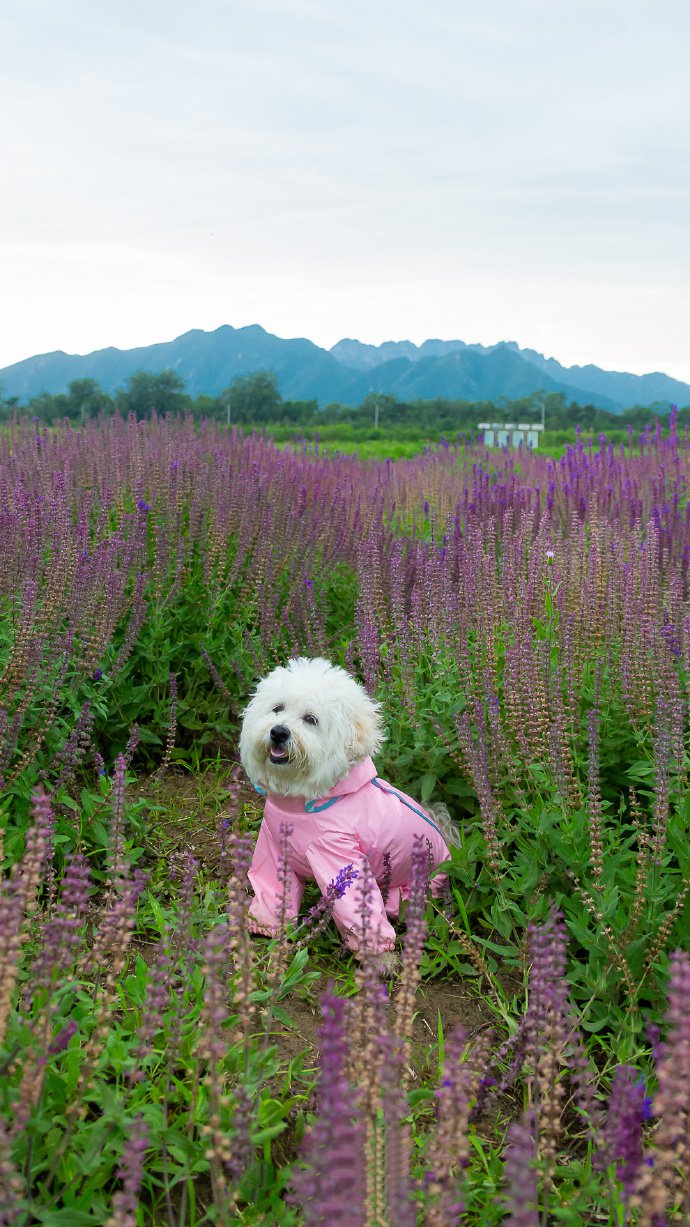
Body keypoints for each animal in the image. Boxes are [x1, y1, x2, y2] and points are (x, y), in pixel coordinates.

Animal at [239, 657, 454, 971]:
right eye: (277, 708)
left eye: (311, 719)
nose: (279, 731)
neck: (300, 804)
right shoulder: (275, 848)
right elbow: (274, 893)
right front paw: (267, 931)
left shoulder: (342, 859)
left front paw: (380, 958)